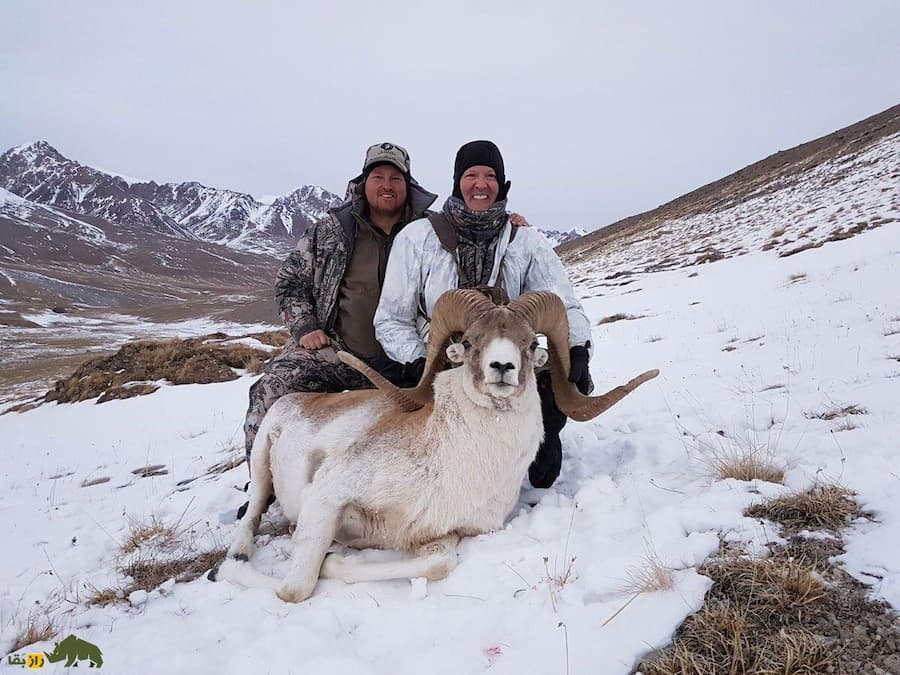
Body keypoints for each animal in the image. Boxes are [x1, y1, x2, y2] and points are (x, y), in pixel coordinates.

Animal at [214, 290, 656, 604]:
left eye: (531, 344)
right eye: (471, 341)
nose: (502, 368)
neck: (456, 459)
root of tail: (294, 401)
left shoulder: (445, 536)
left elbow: (438, 565)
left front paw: (335, 560)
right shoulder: (326, 497)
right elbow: (295, 589)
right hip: (261, 465)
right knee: (250, 517)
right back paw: (236, 555)